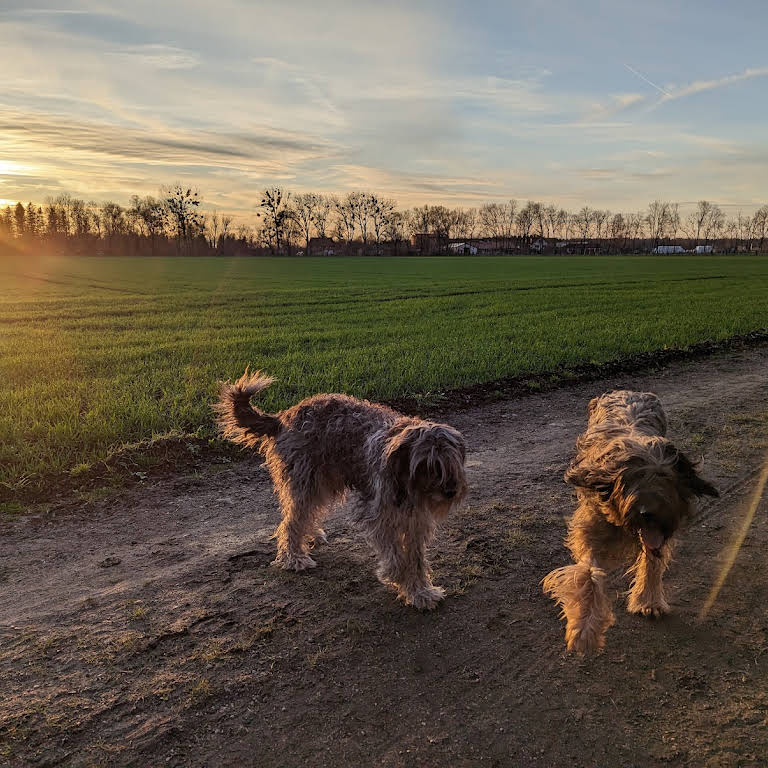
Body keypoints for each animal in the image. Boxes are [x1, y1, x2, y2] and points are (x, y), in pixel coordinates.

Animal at [214, 374, 468, 612]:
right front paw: (398, 577)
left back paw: (311, 534)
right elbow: (396, 555)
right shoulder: (379, 516)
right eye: (426, 463)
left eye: (451, 461)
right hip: (306, 483)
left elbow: (416, 559)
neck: (404, 482)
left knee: (304, 516)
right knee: (292, 522)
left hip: (323, 482)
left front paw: (421, 592)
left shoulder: (416, 520)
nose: (450, 491)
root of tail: (285, 416)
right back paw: (294, 557)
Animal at [544, 390, 716, 656]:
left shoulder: (658, 534)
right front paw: (584, 630)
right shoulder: (591, 531)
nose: (648, 512)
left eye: (665, 476)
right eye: (633, 477)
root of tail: (625, 391)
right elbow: (589, 575)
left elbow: (652, 563)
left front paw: (649, 600)